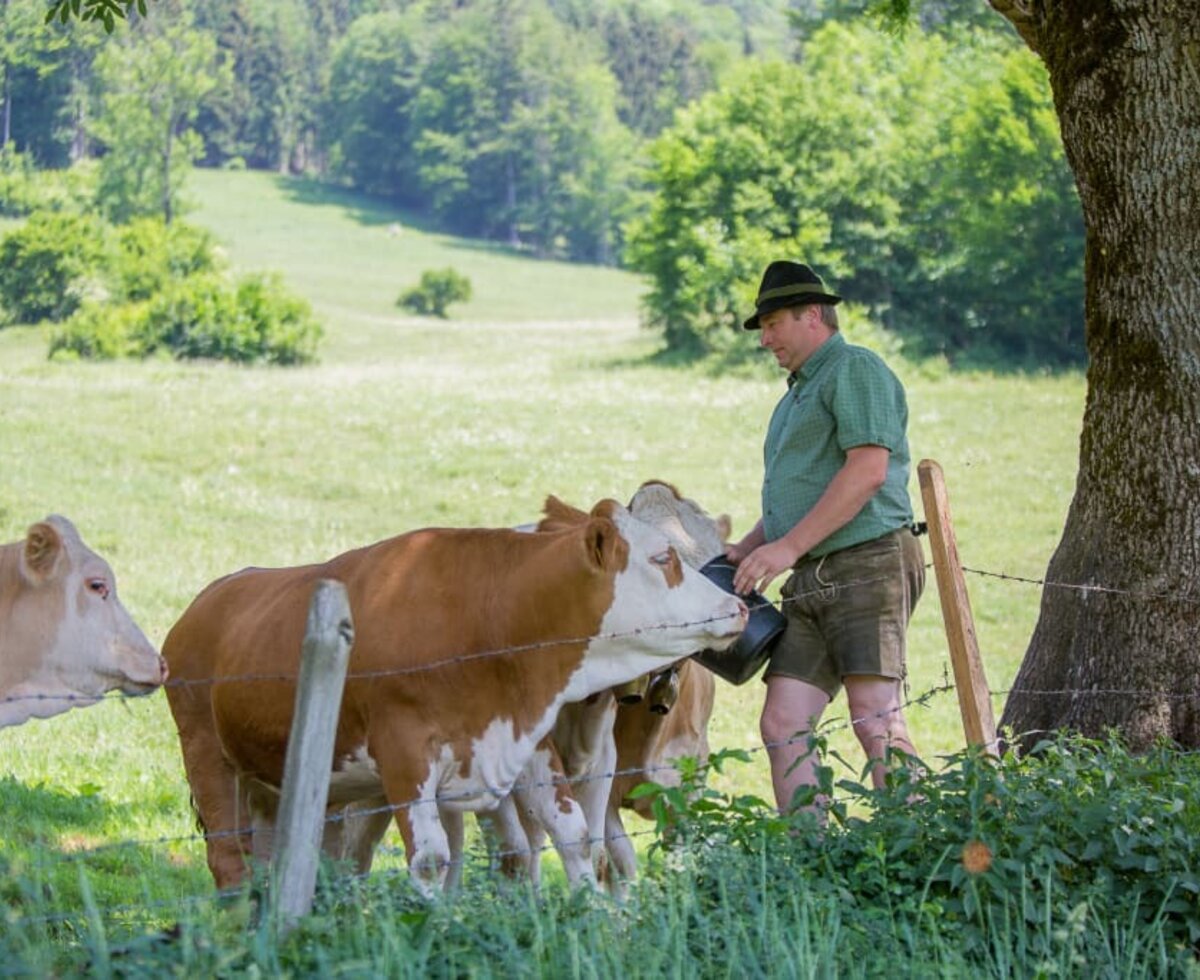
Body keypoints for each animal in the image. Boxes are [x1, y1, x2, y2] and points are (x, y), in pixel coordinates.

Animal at [159, 496, 739, 892]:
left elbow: (575, 838)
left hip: (282, 783)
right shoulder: (404, 756)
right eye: (663, 558)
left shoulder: (522, 742)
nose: (737, 606)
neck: (489, 613)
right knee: (231, 863)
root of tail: (204, 603)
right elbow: (436, 860)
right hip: (208, 757)